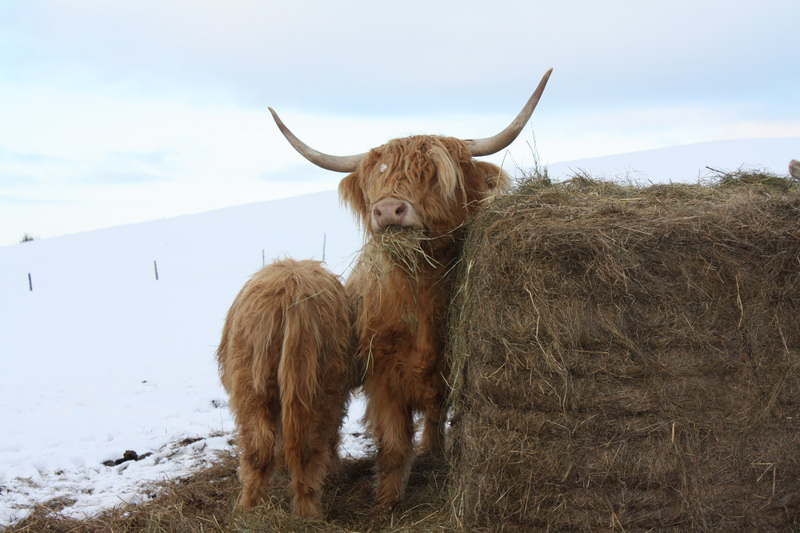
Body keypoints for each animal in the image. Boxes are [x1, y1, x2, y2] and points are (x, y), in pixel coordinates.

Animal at [269, 69, 552, 509]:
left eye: (434, 175)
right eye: (377, 178)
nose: (387, 210)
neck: (418, 297)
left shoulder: (449, 367)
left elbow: (437, 413)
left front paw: (431, 456)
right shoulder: (382, 373)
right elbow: (393, 442)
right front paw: (387, 499)